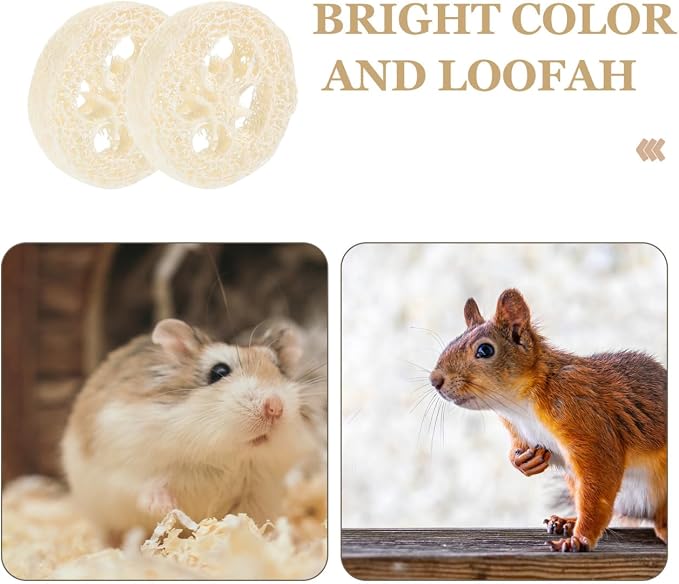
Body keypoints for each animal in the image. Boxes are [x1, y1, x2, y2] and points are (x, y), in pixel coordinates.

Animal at [61, 318, 320, 540]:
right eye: (219, 372)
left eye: (280, 370)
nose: (275, 407)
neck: (226, 455)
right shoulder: (125, 466)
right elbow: (145, 486)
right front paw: (166, 507)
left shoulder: (258, 492)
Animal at [429, 289, 667, 552]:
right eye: (451, 342)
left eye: (485, 350)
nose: (434, 380)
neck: (520, 406)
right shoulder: (517, 429)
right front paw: (522, 460)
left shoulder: (586, 421)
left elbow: (598, 486)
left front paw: (579, 540)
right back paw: (566, 521)